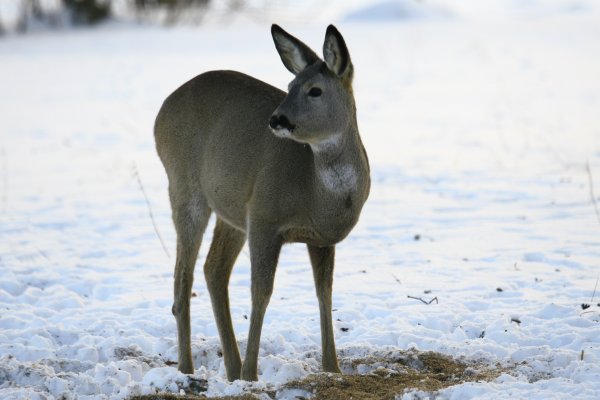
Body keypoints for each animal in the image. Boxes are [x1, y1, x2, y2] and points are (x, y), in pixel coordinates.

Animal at [154, 23, 370, 380]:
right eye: (289, 86)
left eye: (314, 90)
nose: (276, 119)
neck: (316, 194)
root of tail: (160, 112)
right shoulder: (265, 218)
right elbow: (262, 293)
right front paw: (251, 375)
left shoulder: (322, 238)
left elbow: (324, 293)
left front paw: (333, 368)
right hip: (184, 185)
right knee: (183, 274)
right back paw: (189, 368)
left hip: (232, 207)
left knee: (213, 269)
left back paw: (230, 367)